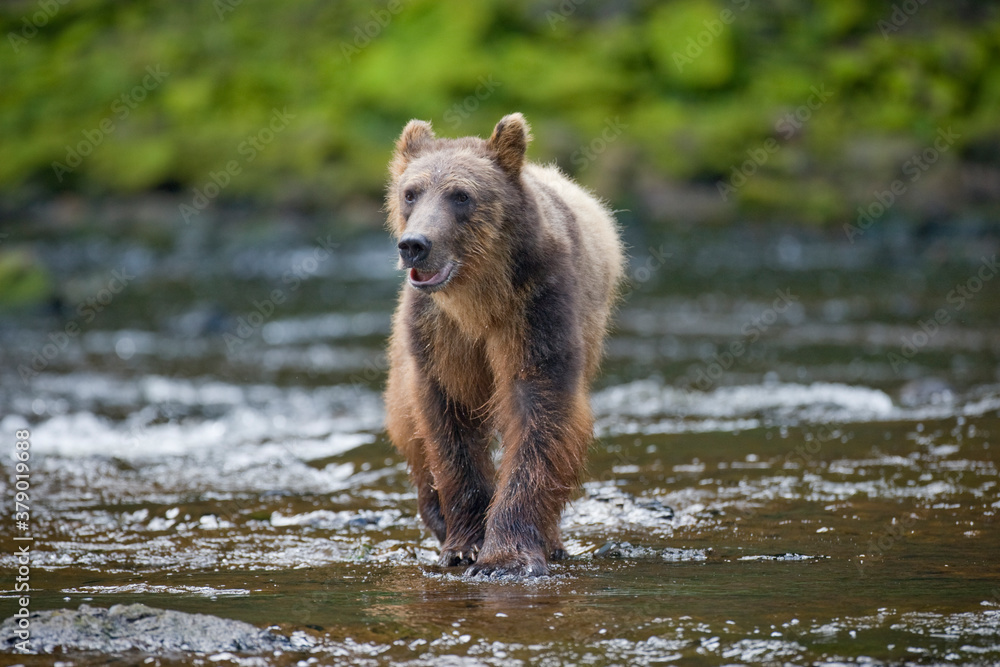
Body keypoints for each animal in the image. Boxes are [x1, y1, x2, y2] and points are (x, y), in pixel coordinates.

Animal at [384, 113, 624, 577]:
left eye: (461, 195)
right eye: (410, 192)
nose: (415, 245)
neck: (478, 299)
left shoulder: (535, 309)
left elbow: (539, 413)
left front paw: (505, 556)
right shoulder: (438, 332)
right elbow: (448, 424)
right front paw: (464, 544)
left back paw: (552, 539)